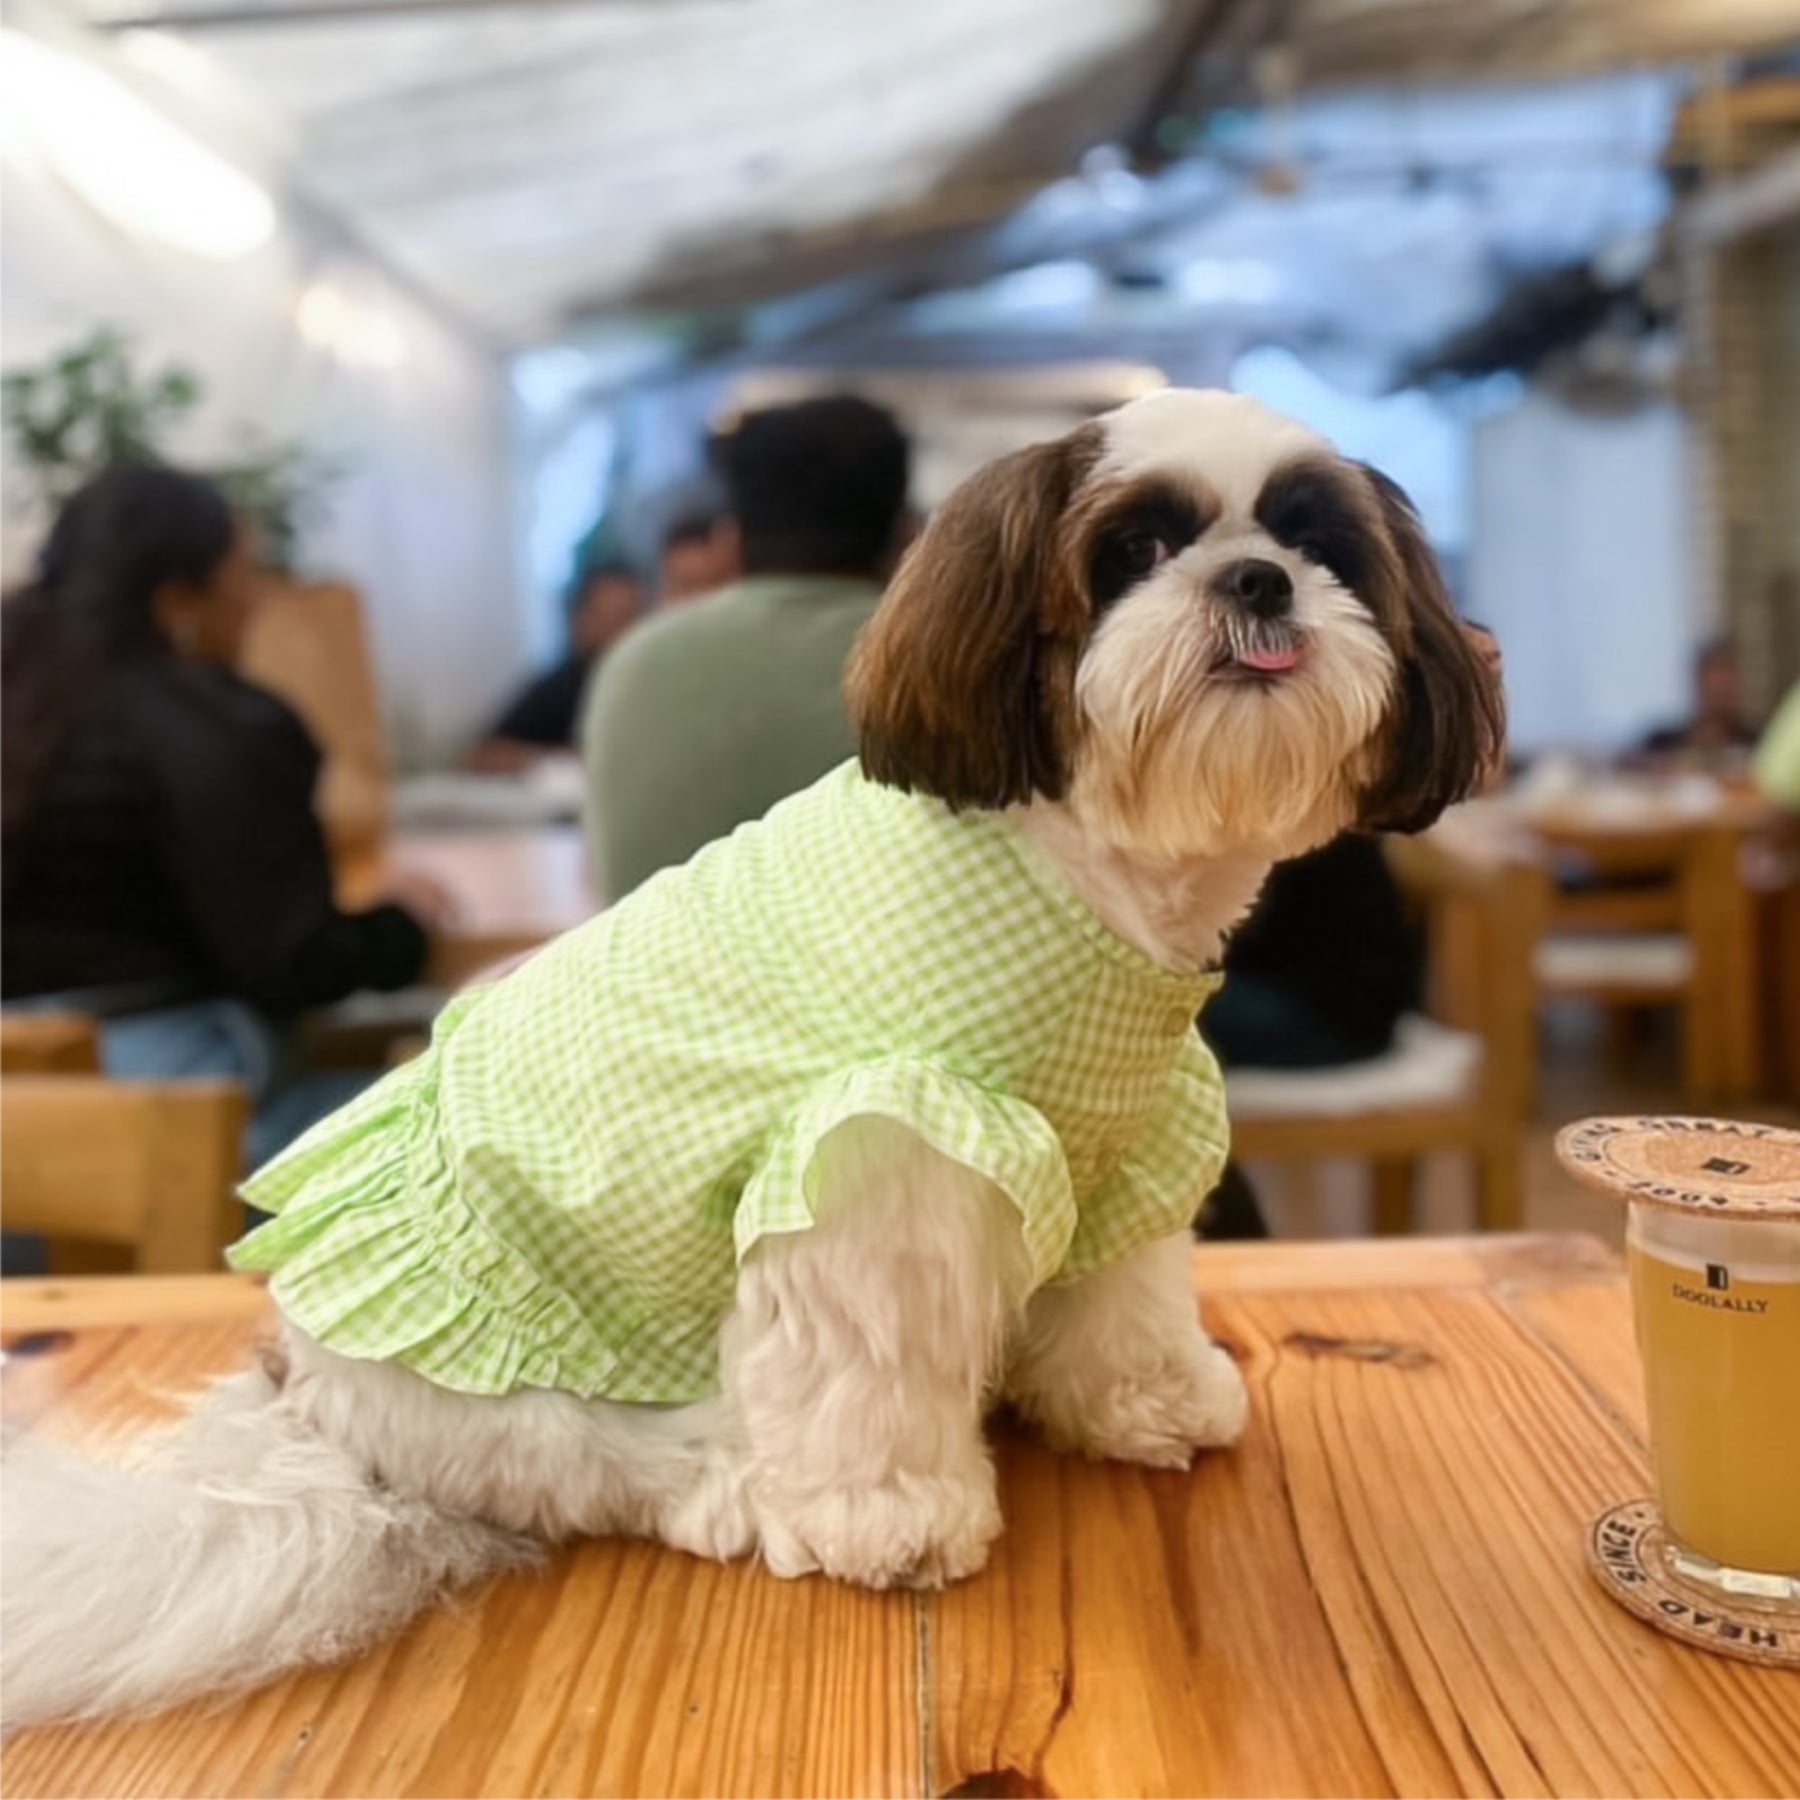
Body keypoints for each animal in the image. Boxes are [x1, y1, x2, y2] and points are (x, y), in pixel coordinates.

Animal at [0, 394, 1504, 1728]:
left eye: (1318, 542)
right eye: (1134, 547)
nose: (1257, 578)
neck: (1089, 884)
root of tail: (302, 1393)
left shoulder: (1121, 1144)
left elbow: (1120, 1298)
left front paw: (1143, 1401)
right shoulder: (882, 1166)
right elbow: (870, 1368)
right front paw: (889, 1517)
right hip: (528, 1388)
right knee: (602, 1472)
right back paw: (731, 1483)